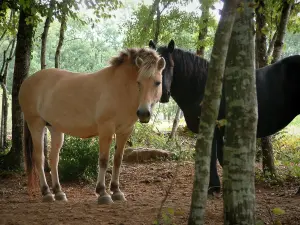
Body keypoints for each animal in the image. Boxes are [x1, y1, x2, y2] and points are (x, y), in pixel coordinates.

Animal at [19, 47, 166, 204]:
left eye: (157, 82)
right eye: (139, 82)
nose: (144, 113)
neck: (121, 88)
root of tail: (27, 81)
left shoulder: (124, 131)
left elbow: (118, 160)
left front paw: (116, 191)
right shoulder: (106, 129)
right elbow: (103, 160)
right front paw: (103, 193)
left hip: (55, 128)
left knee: (54, 159)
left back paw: (59, 192)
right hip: (36, 124)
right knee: (39, 158)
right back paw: (46, 193)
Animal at [149, 39, 300, 196]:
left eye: (171, 66)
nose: (163, 94)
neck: (203, 88)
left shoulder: (213, 130)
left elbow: (213, 157)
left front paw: (213, 187)